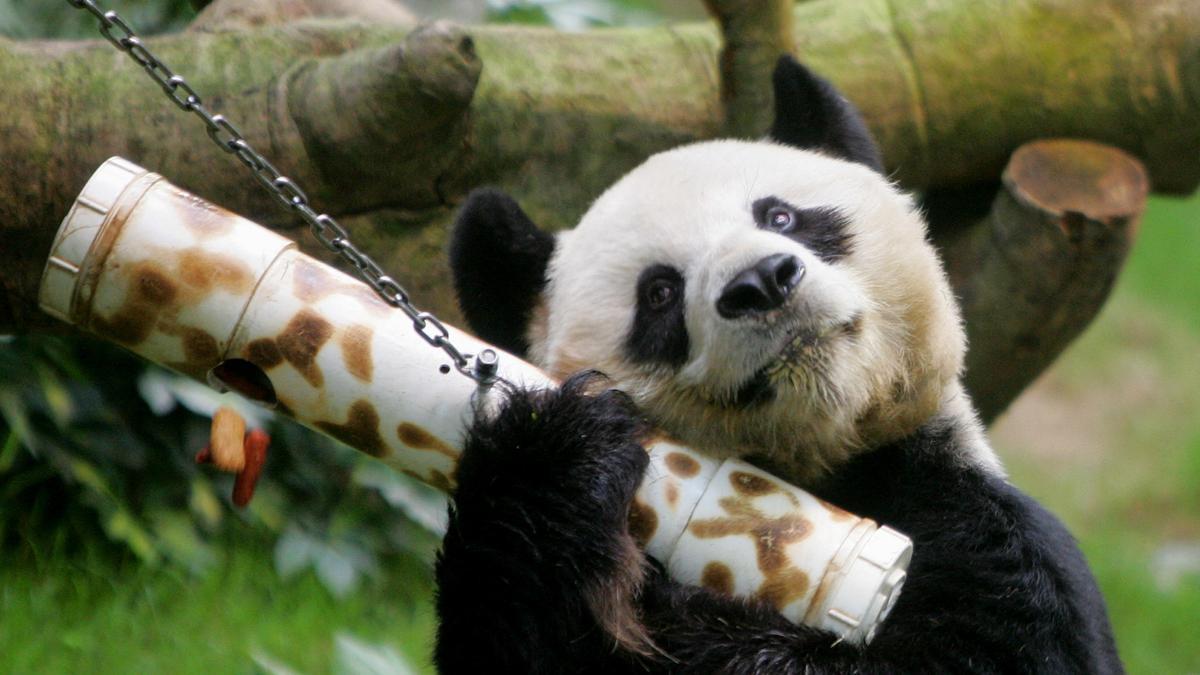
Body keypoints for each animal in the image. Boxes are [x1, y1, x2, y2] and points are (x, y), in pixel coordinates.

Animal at [434, 55, 1123, 667]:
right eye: (659, 293)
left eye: (782, 215)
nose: (762, 281)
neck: (823, 468)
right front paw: (557, 458)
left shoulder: (980, 529)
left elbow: (997, 643)